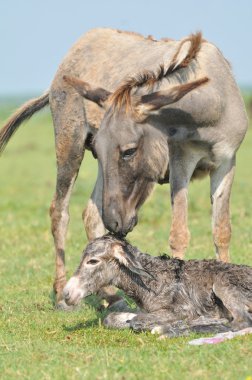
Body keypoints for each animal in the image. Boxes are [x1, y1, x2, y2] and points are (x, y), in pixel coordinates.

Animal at [63, 235, 252, 338]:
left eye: (92, 261)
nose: (66, 293)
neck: (152, 283)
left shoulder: (184, 308)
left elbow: (138, 321)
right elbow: (112, 318)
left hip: (223, 284)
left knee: (241, 322)